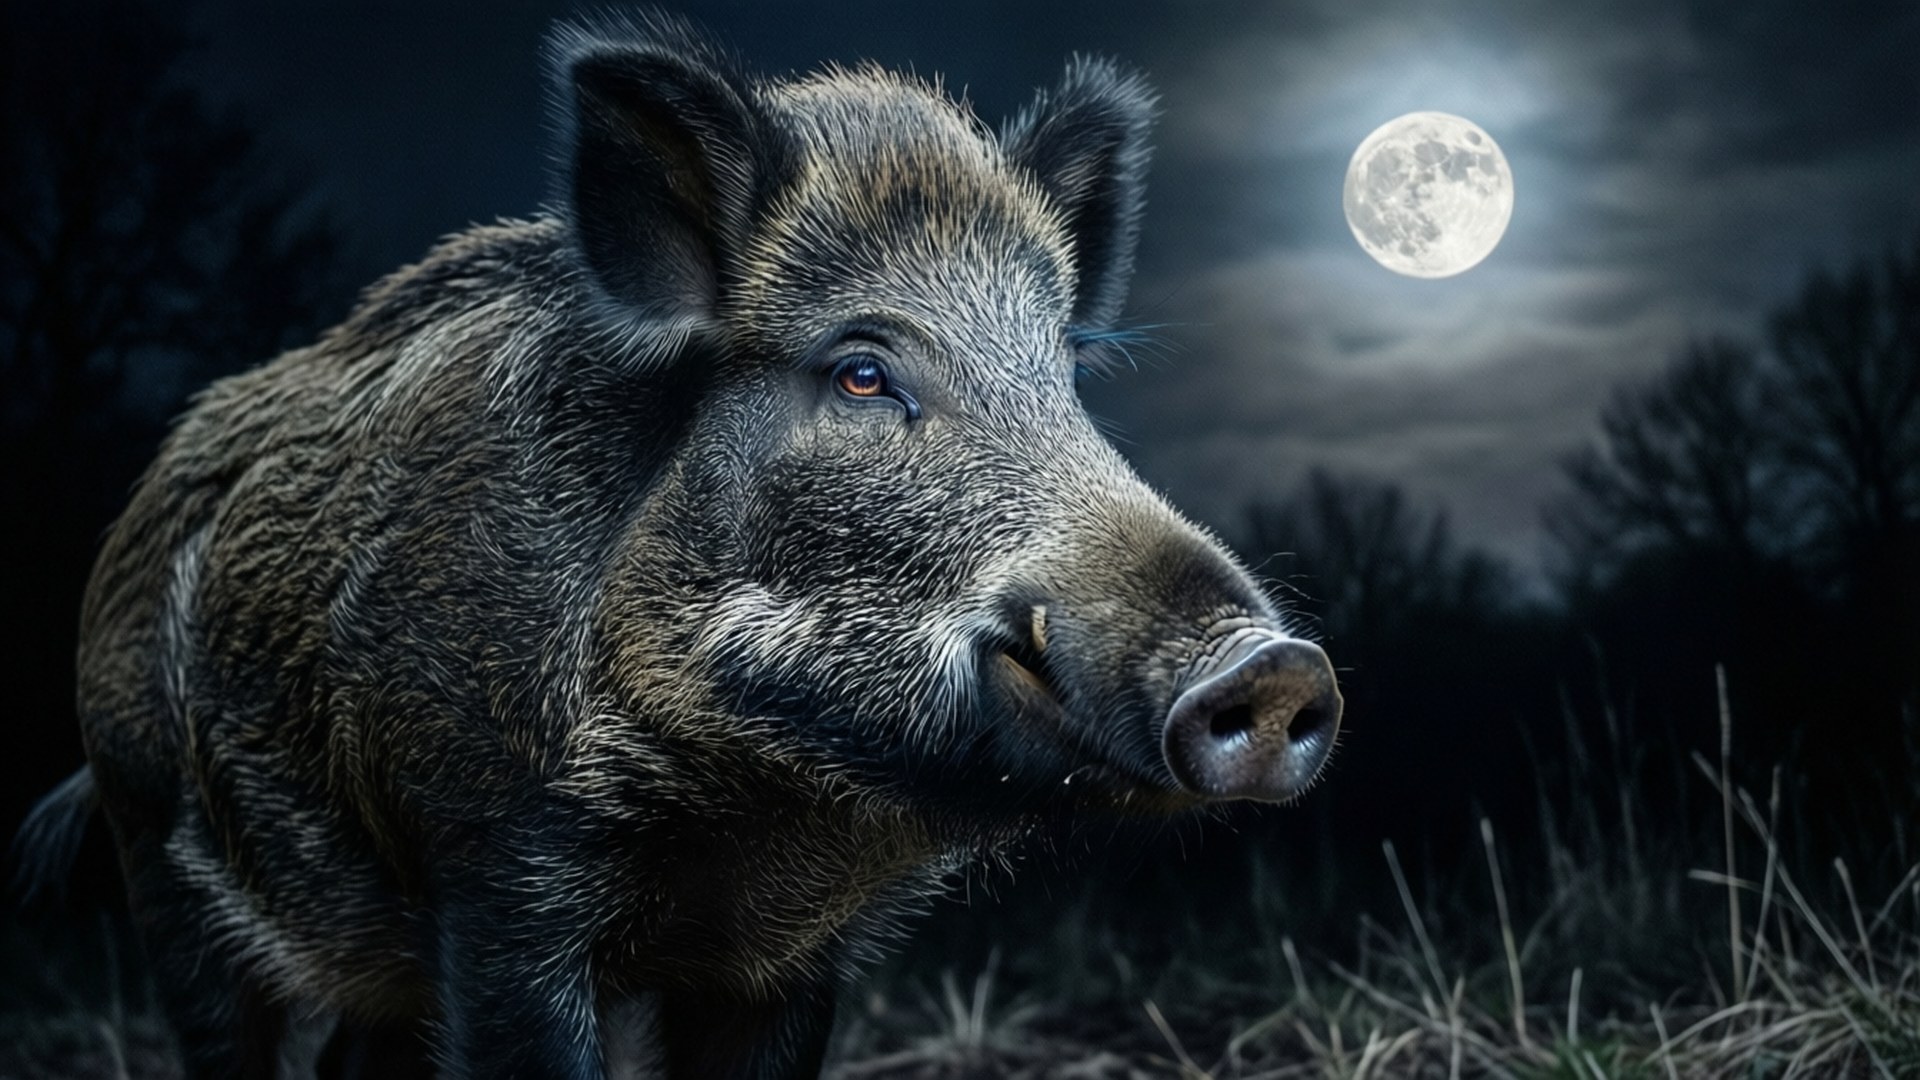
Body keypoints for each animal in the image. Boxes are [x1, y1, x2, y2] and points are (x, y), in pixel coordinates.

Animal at [23, 9, 1341, 1078]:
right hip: (157, 853)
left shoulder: (793, 957)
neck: (755, 812)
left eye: (1065, 371)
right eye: (862, 372)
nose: (1275, 665)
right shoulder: (493, 871)